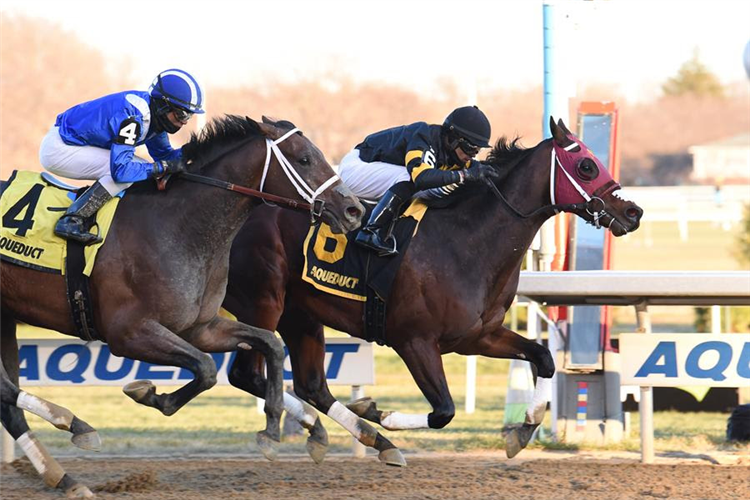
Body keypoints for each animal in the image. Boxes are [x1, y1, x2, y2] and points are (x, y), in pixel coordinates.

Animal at [0, 116, 364, 496]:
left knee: (7, 403)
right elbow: (205, 368)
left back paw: (64, 474)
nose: (354, 210)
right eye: (304, 159)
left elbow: (270, 345)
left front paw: (270, 430)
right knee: (6, 391)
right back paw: (72, 424)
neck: (180, 227)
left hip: (5, 317)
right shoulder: (128, 333)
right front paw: (151, 395)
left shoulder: (201, 328)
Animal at [222, 117, 648, 464]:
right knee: (247, 374)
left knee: (310, 385)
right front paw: (380, 413)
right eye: (587, 166)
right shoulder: (414, 340)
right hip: (263, 302)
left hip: (301, 314)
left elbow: (543, 357)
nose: (633, 212)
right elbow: (444, 411)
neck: (466, 239)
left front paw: (525, 428)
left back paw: (355, 435)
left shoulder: (478, 336)